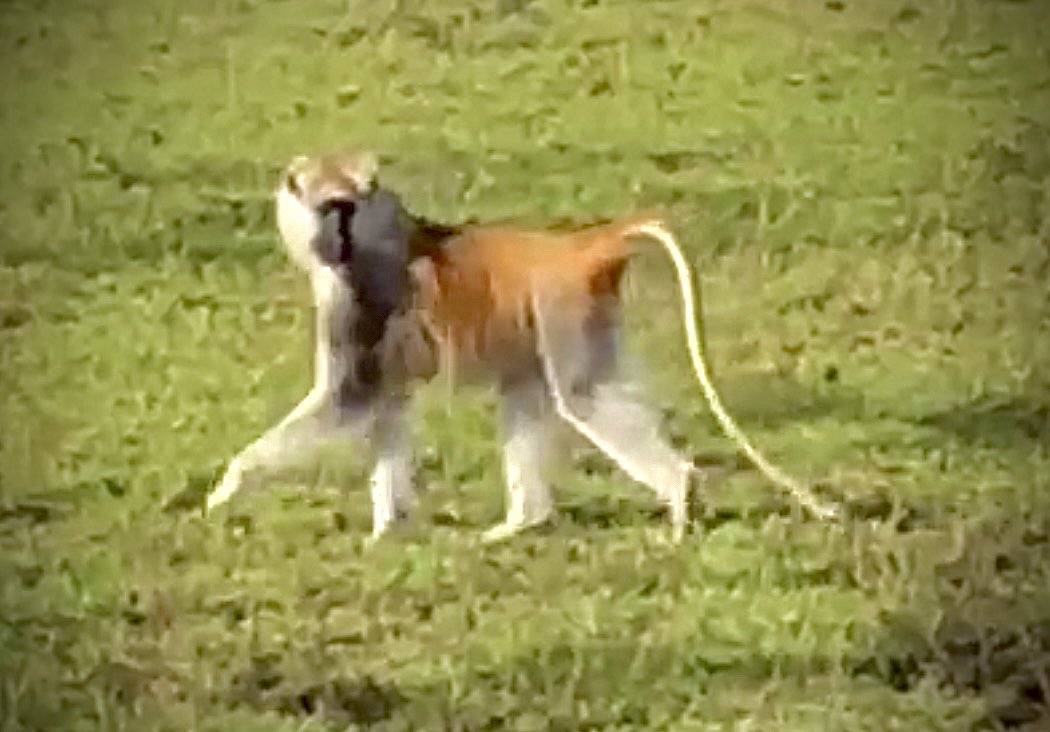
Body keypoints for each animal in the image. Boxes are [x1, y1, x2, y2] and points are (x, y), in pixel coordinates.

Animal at [204, 151, 839, 543]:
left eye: (346, 208)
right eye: (328, 207)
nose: (336, 237)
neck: (376, 234)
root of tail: (581, 247)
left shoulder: (356, 299)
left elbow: (349, 399)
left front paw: (225, 488)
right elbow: (388, 404)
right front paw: (388, 528)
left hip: (565, 308)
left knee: (581, 397)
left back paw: (679, 496)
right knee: (526, 393)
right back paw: (524, 521)